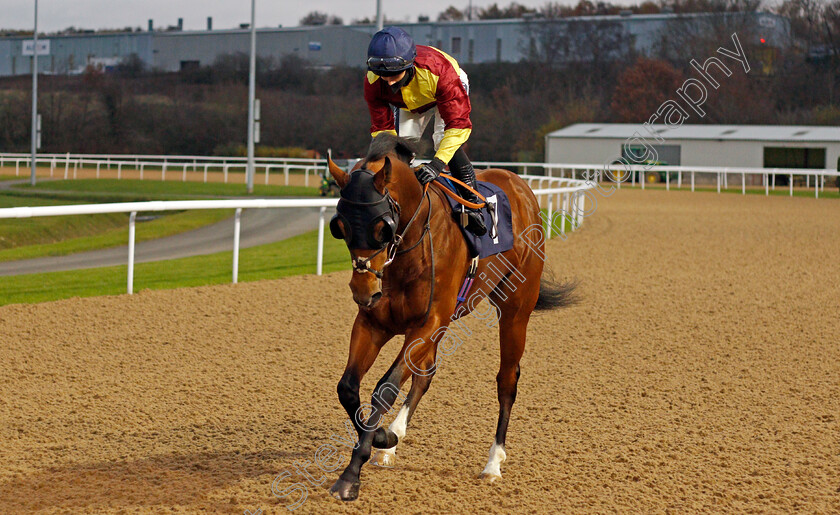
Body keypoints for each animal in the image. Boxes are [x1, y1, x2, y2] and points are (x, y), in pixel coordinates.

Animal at [324, 135, 576, 502]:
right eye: (339, 227)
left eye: (382, 227)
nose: (363, 289)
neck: (409, 249)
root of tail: (519, 186)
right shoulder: (375, 323)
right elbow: (348, 387)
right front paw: (383, 439)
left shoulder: (427, 323)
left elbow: (385, 388)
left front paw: (353, 472)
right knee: (425, 374)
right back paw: (393, 439)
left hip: (515, 310)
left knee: (507, 380)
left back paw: (493, 462)